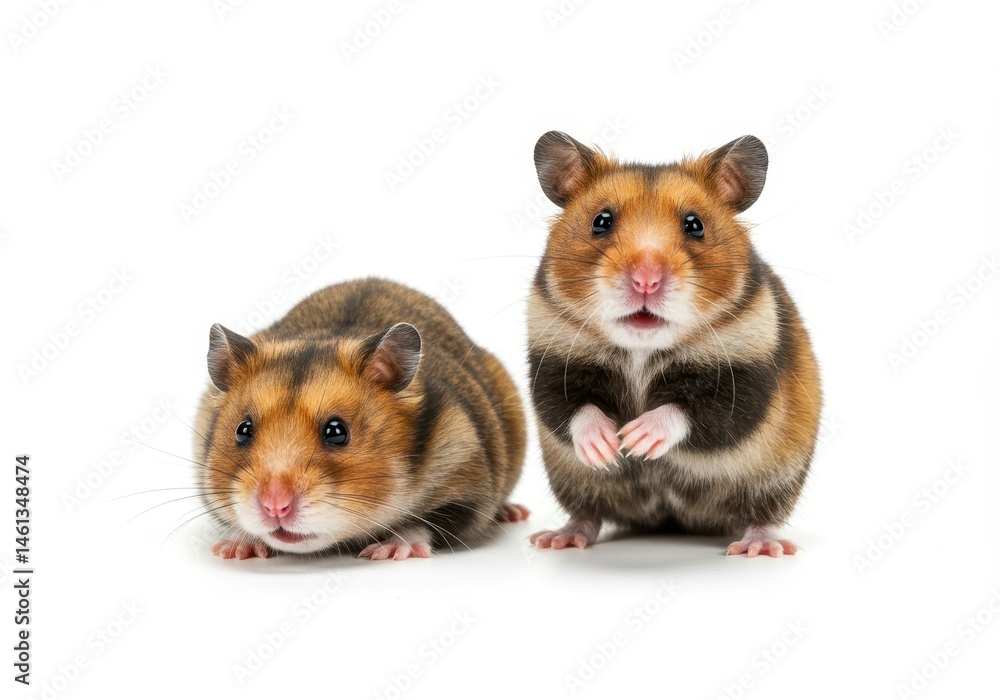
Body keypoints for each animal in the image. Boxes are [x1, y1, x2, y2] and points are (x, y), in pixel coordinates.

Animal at [193, 278, 528, 560]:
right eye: (243, 430)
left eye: (337, 432)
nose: (275, 507)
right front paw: (231, 550)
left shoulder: (468, 479)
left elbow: (425, 523)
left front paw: (388, 551)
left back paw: (513, 513)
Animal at [526, 131, 821, 557]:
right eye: (601, 221)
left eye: (695, 225)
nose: (646, 280)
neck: (641, 349)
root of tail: (672, 520)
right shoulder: (551, 359)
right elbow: (572, 409)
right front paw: (607, 447)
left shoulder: (746, 375)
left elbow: (693, 411)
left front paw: (636, 440)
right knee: (588, 513)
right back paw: (557, 538)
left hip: (775, 478)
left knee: (759, 513)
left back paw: (761, 546)